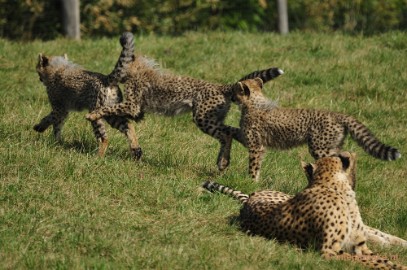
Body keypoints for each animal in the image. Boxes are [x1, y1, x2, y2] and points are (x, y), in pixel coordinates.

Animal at [86, 32, 284, 171]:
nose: (111, 73)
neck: (138, 69)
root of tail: (222, 86)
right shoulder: (137, 110)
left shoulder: (132, 105)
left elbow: (109, 108)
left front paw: (93, 114)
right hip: (212, 118)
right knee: (232, 131)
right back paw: (224, 162)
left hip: (203, 119)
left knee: (226, 135)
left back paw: (223, 162)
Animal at [203, 152, 407, 268]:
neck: (331, 185)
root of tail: (249, 199)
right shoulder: (329, 251)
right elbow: (369, 260)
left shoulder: (358, 245)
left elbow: (380, 258)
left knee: (375, 231)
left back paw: (400, 242)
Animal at [236, 77, 402, 180]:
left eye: (235, 90)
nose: (231, 94)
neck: (255, 102)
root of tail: (337, 114)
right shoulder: (259, 145)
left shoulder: (255, 146)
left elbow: (253, 166)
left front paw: (251, 181)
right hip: (332, 144)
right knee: (346, 155)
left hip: (320, 148)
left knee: (338, 159)